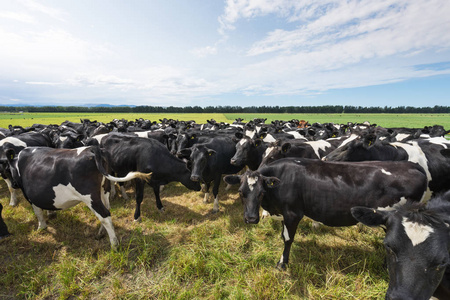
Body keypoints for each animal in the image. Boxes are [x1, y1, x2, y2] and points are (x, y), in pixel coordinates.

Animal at [0, 146, 152, 248]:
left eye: (6, 170)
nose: (13, 185)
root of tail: (92, 149)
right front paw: (50, 214)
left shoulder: (30, 196)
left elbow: (38, 212)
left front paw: (41, 227)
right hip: (104, 190)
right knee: (107, 211)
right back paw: (101, 233)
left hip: (90, 197)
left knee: (105, 216)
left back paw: (114, 245)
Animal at [223, 159, 428, 270]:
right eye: (240, 192)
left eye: (261, 193)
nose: (251, 219)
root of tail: (413, 165)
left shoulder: (292, 213)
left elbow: (287, 238)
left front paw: (282, 263)